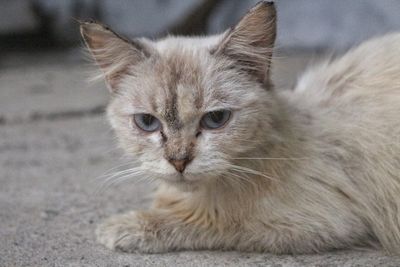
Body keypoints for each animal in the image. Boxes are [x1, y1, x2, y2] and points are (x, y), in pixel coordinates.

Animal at [80, 0, 400, 255]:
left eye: (216, 119)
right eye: (147, 122)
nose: (179, 162)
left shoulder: (318, 223)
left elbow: (210, 223)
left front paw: (127, 226)